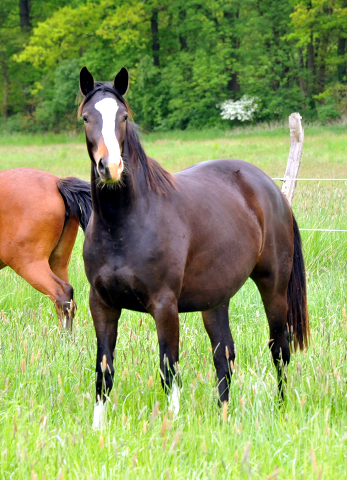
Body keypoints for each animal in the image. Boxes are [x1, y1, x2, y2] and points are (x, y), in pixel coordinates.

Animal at [80, 64, 312, 428]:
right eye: (87, 117)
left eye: (124, 116)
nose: (111, 167)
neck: (125, 224)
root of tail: (271, 191)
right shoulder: (101, 304)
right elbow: (104, 372)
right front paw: (97, 428)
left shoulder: (164, 305)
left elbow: (168, 368)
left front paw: (171, 426)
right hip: (215, 300)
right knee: (225, 357)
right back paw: (224, 417)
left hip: (273, 287)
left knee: (279, 349)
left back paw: (281, 409)